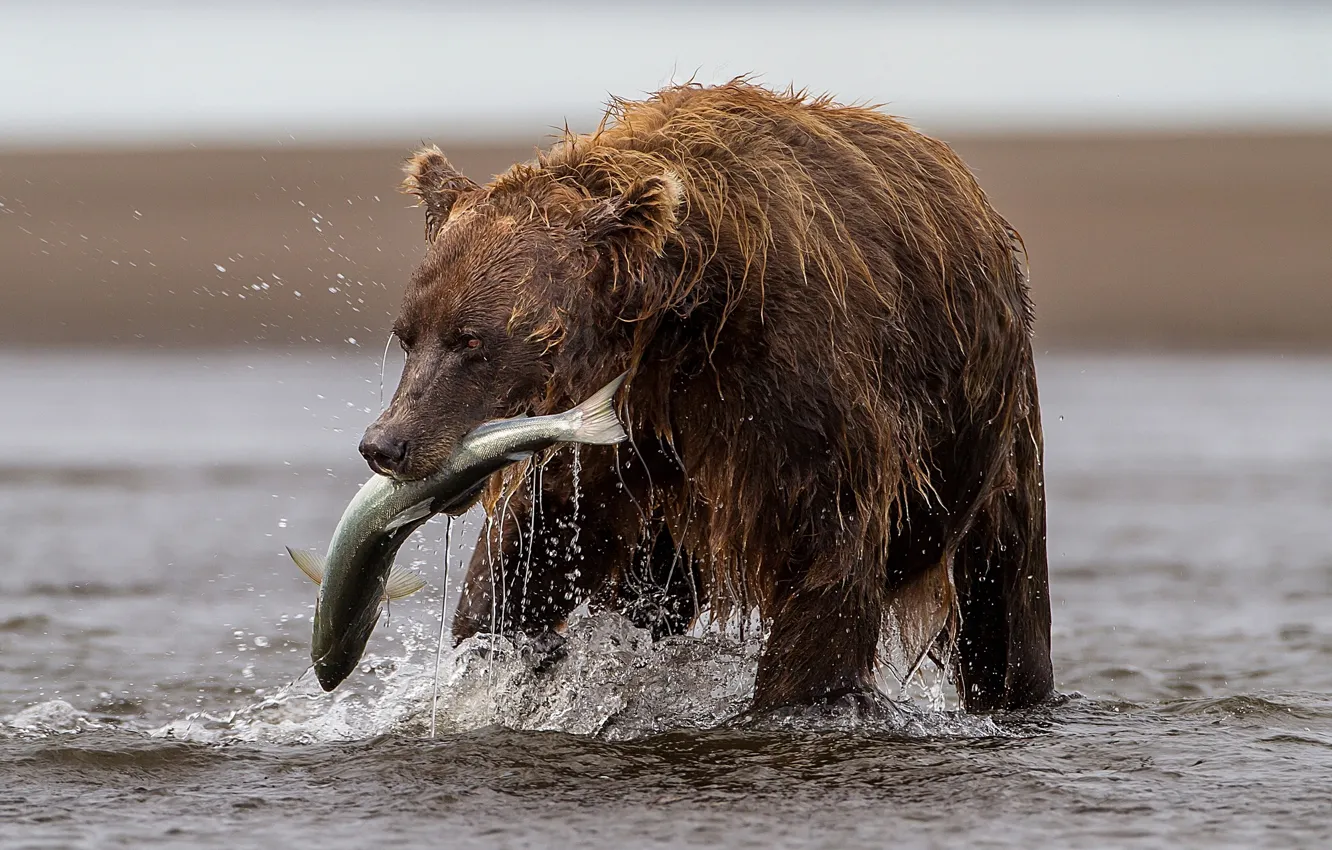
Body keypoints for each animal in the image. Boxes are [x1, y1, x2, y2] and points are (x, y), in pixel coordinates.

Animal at [360, 81, 1053, 713]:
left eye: (471, 340)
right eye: (408, 334)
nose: (386, 443)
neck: (681, 315)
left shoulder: (796, 389)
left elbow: (827, 558)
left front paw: (795, 697)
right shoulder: (620, 423)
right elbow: (537, 540)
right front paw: (498, 652)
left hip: (990, 434)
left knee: (1005, 597)